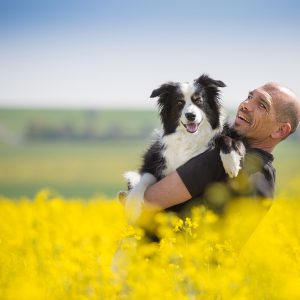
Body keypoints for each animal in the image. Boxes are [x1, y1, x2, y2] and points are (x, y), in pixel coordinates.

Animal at [120, 74, 245, 224]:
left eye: (198, 100)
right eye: (179, 102)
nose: (190, 115)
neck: (188, 138)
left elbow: (225, 137)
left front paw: (232, 162)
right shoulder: (152, 162)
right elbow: (144, 178)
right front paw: (132, 207)